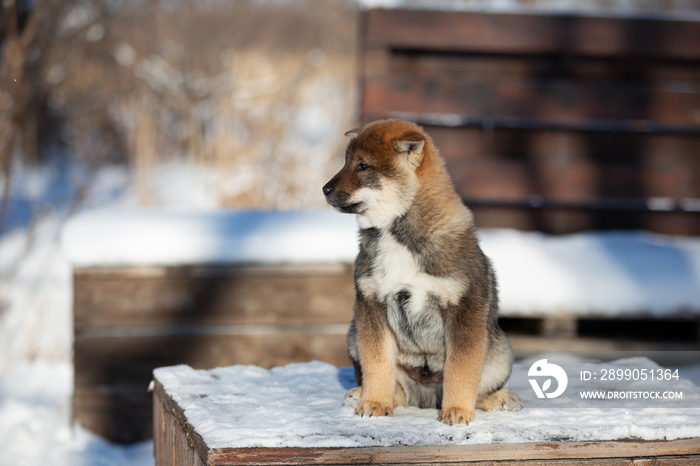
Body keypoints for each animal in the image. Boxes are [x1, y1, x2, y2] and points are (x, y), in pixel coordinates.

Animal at [322, 118, 520, 424]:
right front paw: (374, 403)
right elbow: (378, 363)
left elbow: (461, 369)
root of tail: (425, 397)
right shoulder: (371, 305)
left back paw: (502, 399)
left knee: (482, 389)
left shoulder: (464, 308)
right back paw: (363, 394)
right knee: (393, 385)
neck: (395, 232)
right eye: (347, 163)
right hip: (353, 335)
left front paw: (456, 411)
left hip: (500, 352)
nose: (324, 189)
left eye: (362, 166)